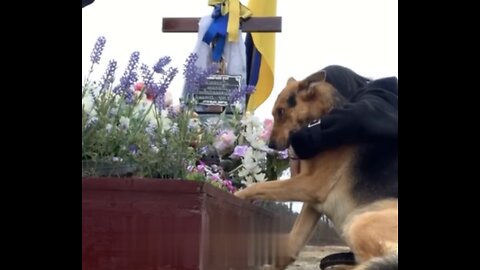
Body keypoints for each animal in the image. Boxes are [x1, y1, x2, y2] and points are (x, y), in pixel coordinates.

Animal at [235, 70, 398, 268]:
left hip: (359, 222)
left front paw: (236, 195)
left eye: (281, 112)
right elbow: (291, 244)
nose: (271, 145)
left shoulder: (310, 184)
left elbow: (259, 186)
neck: (321, 118)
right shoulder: (312, 202)